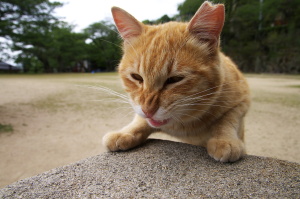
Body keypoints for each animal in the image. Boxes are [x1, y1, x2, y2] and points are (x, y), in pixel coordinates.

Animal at [103, 1, 251, 162]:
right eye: (137, 77)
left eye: (175, 79)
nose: (148, 110)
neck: (184, 125)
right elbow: (140, 121)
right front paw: (125, 133)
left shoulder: (243, 101)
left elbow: (228, 120)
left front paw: (224, 140)